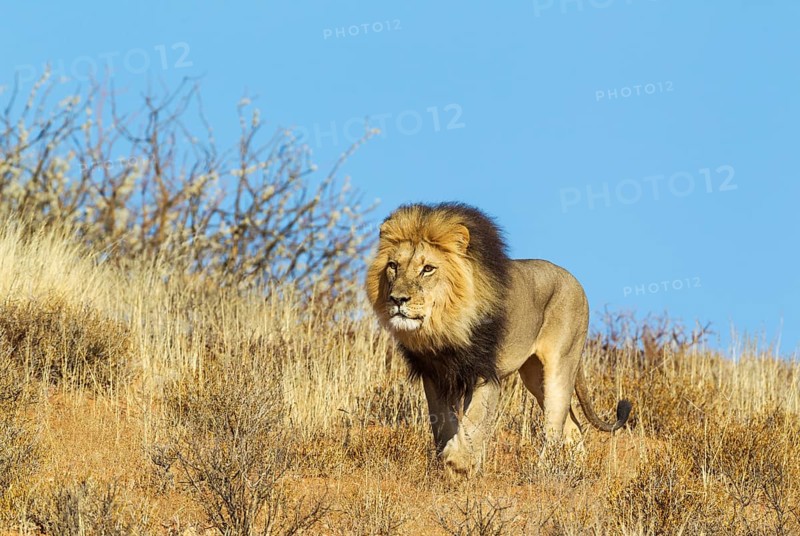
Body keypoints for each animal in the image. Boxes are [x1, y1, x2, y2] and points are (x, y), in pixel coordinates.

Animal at [366, 202, 631, 477]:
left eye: (428, 268)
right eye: (393, 266)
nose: (397, 299)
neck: (446, 325)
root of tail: (573, 279)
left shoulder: (486, 373)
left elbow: (475, 419)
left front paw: (459, 461)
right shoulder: (435, 375)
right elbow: (443, 422)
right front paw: (448, 464)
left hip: (560, 365)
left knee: (555, 423)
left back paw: (543, 471)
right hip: (534, 376)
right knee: (573, 425)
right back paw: (574, 469)